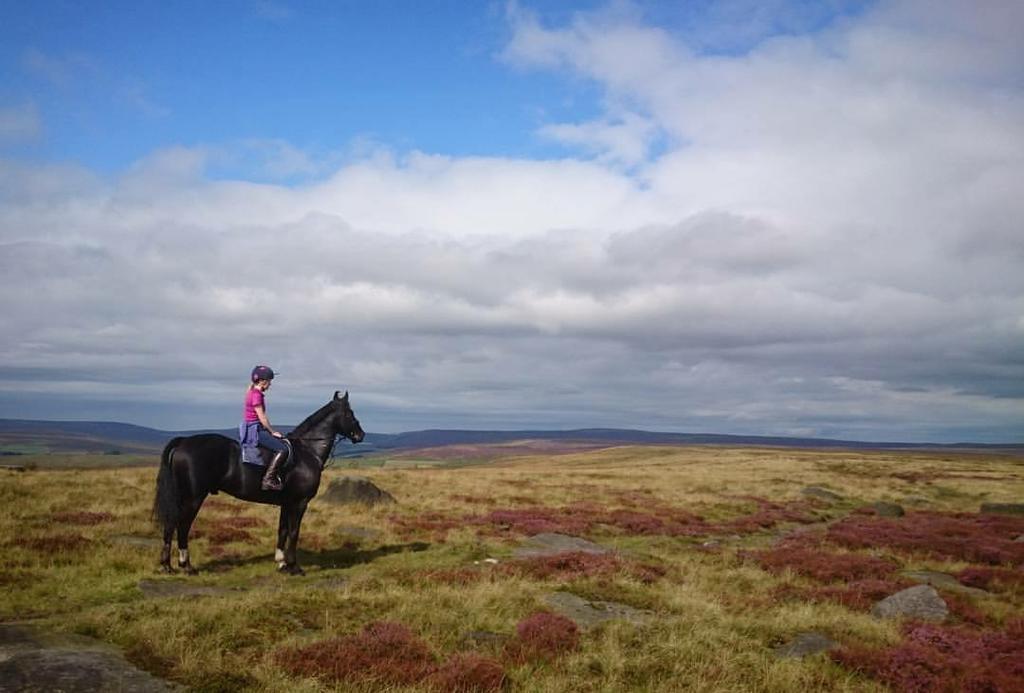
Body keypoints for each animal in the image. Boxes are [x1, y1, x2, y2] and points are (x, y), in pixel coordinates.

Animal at [153, 388, 366, 573]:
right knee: (182, 525)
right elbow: (294, 532)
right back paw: (186, 565)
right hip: (194, 497)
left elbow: (282, 530)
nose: (361, 435)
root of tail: (183, 442)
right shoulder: (299, 502)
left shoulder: (286, 503)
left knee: (170, 524)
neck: (307, 451)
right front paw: (294, 566)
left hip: (182, 496)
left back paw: (167, 565)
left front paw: (281, 563)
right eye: (350, 413)